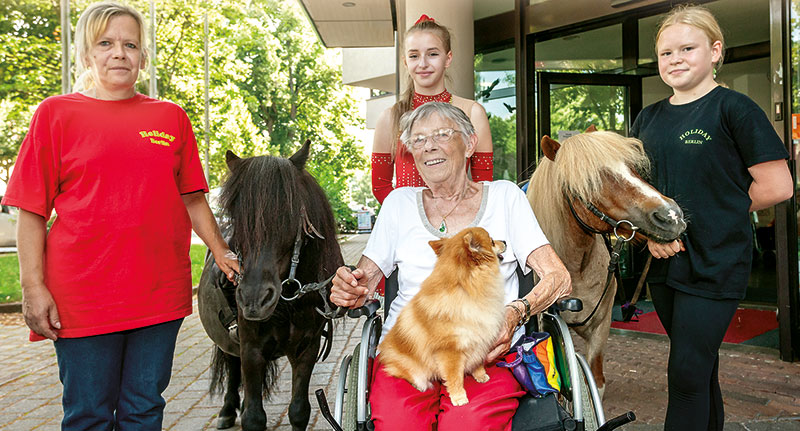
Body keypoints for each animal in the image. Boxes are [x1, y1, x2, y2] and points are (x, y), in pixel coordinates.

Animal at [198, 140, 342, 430]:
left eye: (290, 214)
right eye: (237, 215)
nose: (254, 299)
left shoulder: (306, 349)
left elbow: (299, 410)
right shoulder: (251, 350)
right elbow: (254, 417)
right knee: (232, 366)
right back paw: (228, 409)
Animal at [376, 228, 504, 406]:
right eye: (492, 241)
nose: (504, 241)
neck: (467, 289)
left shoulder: (478, 339)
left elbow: (478, 360)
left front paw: (480, 375)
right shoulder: (449, 351)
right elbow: (454, 377)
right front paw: (459, 397)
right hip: (409, 366)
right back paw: (419, 384)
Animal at [524, 131, 688, 398]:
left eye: (632, 167)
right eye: (589, 181)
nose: (671, 216)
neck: (575, 269)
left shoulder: (600, 328)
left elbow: (595, 382)